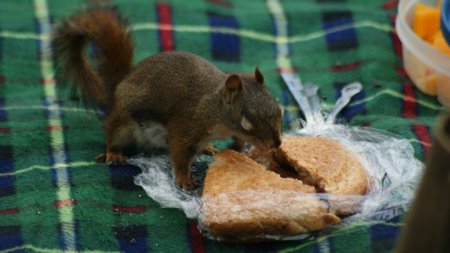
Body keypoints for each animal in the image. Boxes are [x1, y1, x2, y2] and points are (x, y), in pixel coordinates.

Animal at [52, 7, 284, 190]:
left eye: (279, 111)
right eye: (247, 121)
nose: (277, 143)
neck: (215, 110)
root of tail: (120, 83)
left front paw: (241, 151)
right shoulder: (186, 125)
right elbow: (180, 154)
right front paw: (183, 180)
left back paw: (207, 147)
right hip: (123, 122)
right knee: (112, 134)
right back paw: (114, 153)